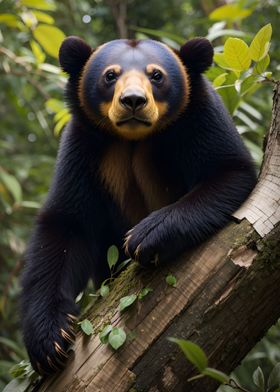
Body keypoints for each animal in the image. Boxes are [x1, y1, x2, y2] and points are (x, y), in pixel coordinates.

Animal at [20, 36, 256, 374]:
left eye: (156, 75)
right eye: (110, 75)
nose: (133, 100)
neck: (135, 138)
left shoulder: (200, 116)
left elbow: (228, 172)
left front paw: (145, 237)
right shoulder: (84, 143)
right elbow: (66, 226)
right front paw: (49, 341)